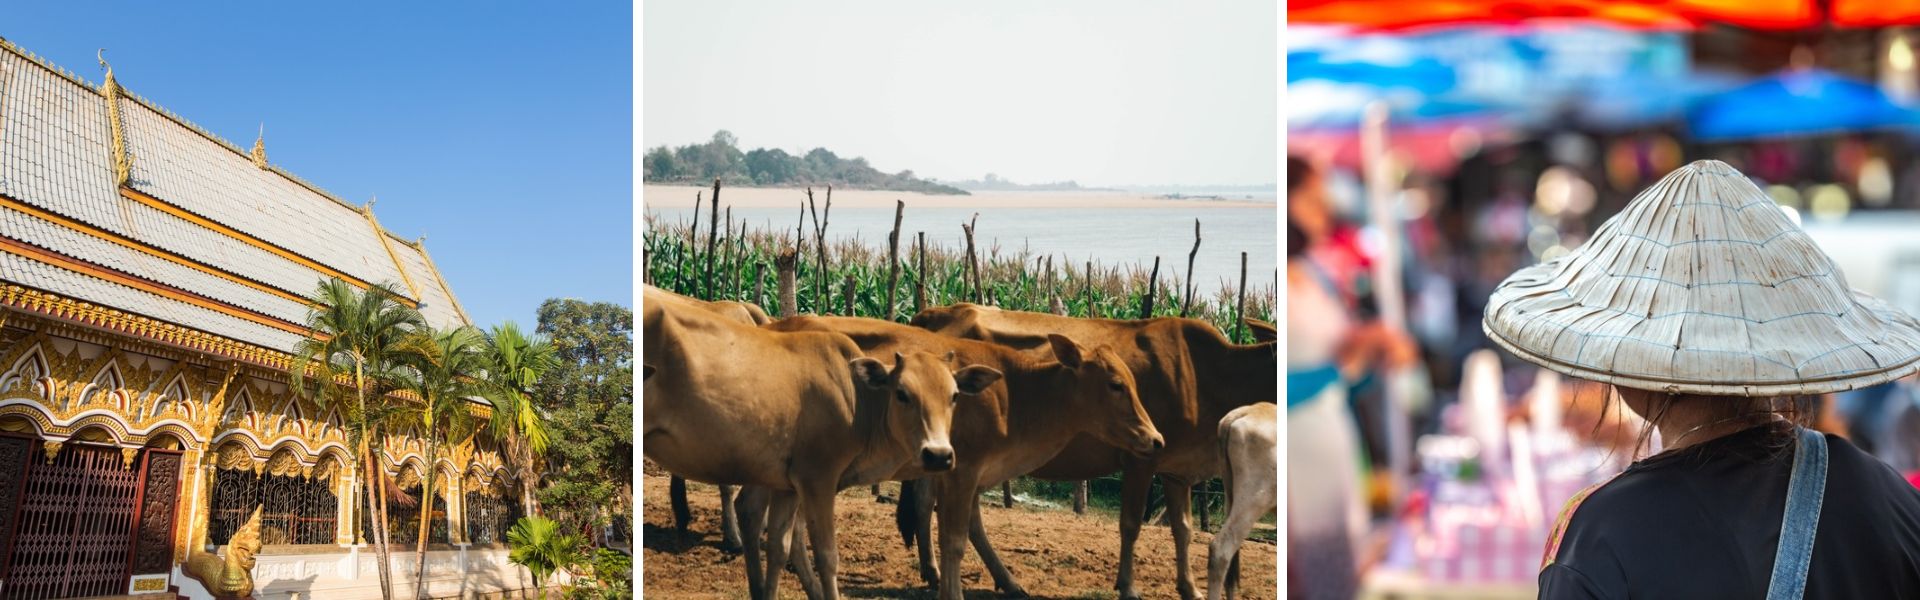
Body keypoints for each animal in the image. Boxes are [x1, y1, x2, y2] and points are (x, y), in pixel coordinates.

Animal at [648, 288, 998, 596]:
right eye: (902, 394)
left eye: (954, 396)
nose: (938, 455)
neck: (856, 398)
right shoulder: (817, 479)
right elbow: (827, 557)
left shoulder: (786, 485)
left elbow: (778, 547)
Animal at [910, 303, 1274, 600]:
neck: (1204, 374)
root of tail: (932, 314)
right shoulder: (1142, 458)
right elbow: (1131, 524)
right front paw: (1128, 586)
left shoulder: (1176, 470)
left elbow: (1183, 529)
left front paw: (1189, 588)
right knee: (929, 505)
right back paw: (936, 572)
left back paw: (995, 580)